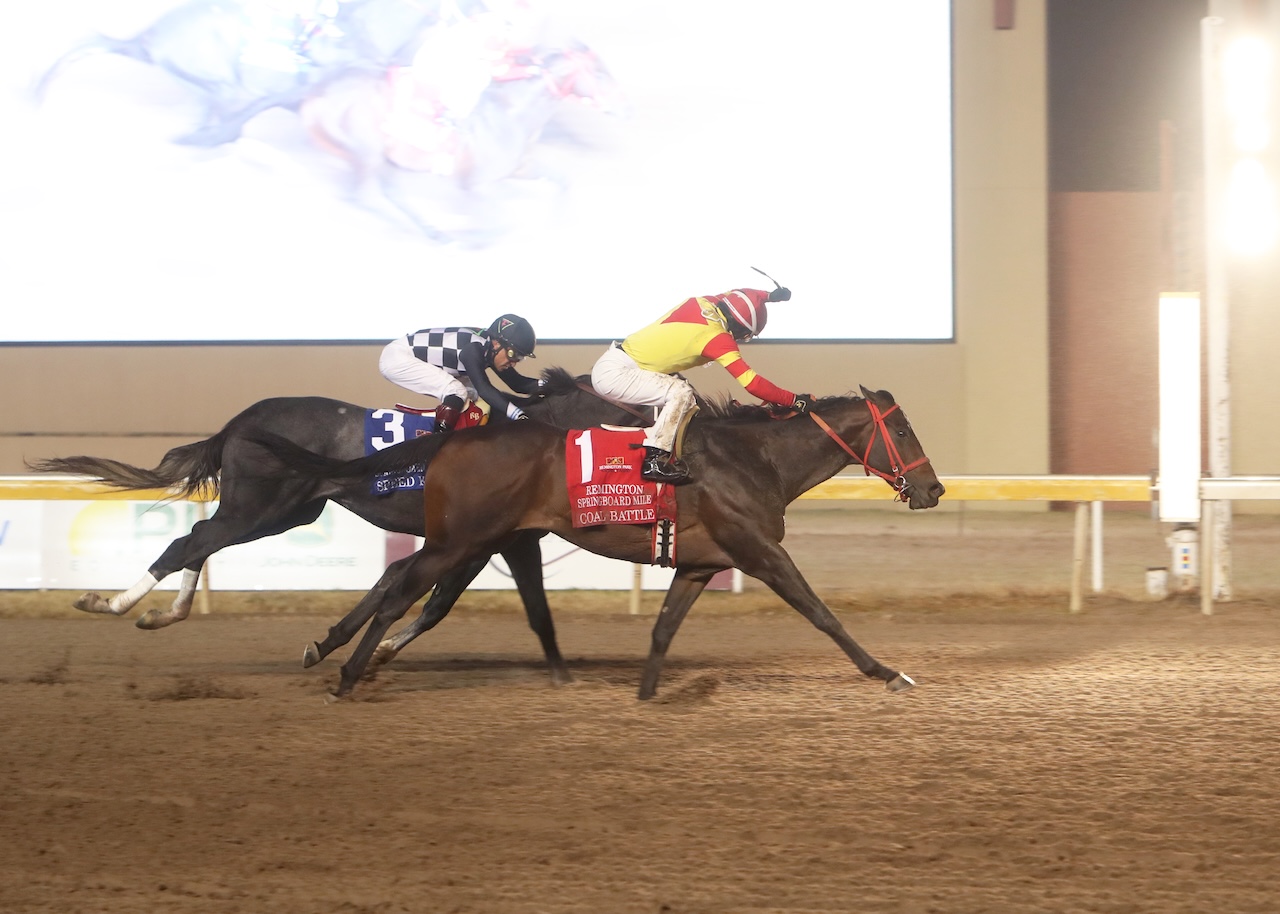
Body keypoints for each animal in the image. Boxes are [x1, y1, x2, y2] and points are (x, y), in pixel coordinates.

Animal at [27, 366, 650, 681]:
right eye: (629, 406)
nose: (652, 443)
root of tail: (240, 421)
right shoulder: (488, 540)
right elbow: (430, 597)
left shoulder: (478, 543)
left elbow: (419, 598)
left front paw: (360, 649)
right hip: (261, 506)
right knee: (191, 540)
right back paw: (112, 603)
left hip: (283, 513)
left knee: (199, 544)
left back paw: (160, 613)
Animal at [254, 384, 947, 696]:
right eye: (903, 431)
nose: (934, 489)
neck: (756, 458)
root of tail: (453, 437)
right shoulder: (761, 552)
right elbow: (821, 613)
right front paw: (887, 671)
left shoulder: (700, 564)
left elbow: (663, 628)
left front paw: (645, 692)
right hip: (459, 541)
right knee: (401, 593)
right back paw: (349, 672)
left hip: (476, 540)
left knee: (406, 591)